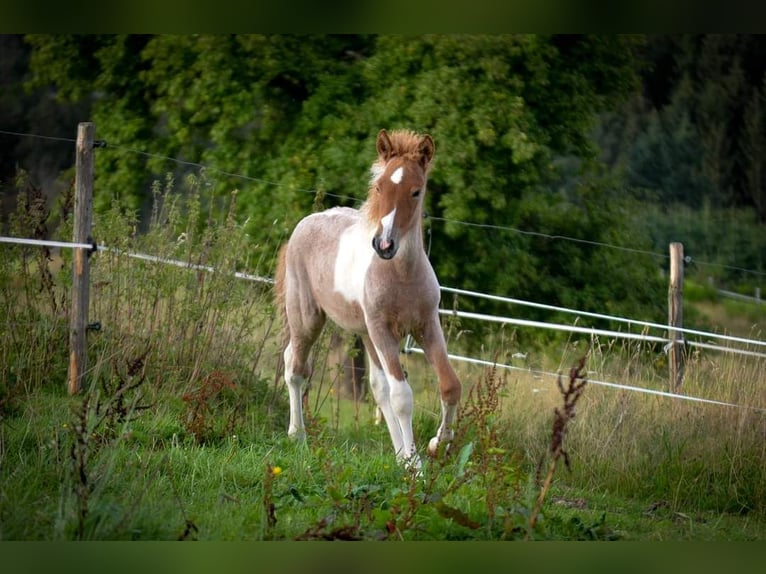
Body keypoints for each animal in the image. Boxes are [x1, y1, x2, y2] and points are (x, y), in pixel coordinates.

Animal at [276, 129, 462, 468]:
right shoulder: (382, 330)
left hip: (364, 332)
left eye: (416, 192)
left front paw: (435, 446)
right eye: (379, 186)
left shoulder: (426, 325)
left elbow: (450, 385)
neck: (401, 275)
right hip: (308, 319)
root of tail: (306, 221)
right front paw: (415, 467)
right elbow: (402, 397)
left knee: (377, 387)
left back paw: (399, 453)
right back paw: (298, 435)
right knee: (294, 365)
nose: (384, 244)